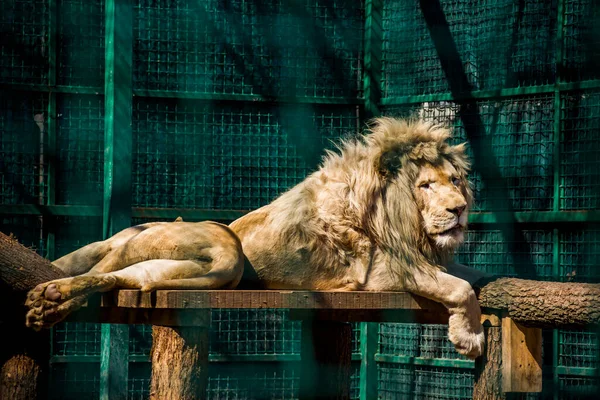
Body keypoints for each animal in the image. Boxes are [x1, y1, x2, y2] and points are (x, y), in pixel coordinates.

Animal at [25, 117, 486, 358]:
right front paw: (469, 337)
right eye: (426, 185)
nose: (459, 209)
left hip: (197, 267)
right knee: (105, 266)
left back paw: (49, 299)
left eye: (455, 180)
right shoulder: (382, 272)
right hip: (216, 245)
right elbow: (459, 288)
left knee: (123, 276)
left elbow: (476, 276)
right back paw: (50, 296)